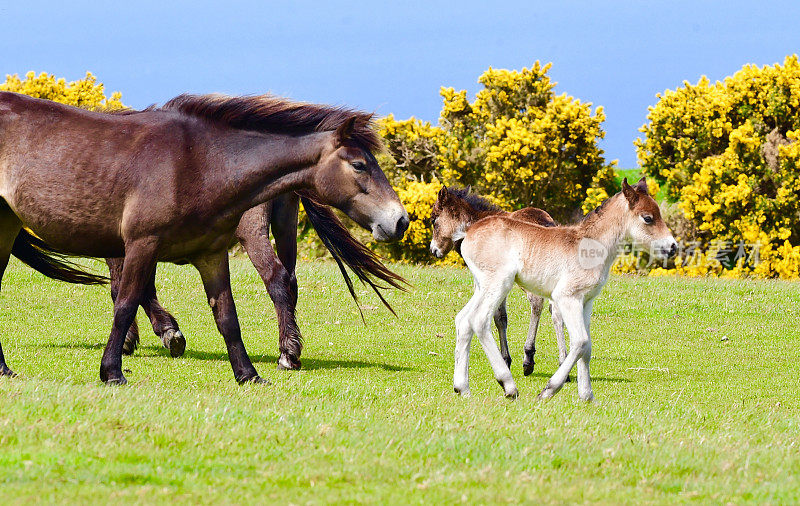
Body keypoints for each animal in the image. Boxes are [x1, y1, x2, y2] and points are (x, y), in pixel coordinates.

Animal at [0, 92, 410, 384]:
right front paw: (114, 370)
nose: (400, 220)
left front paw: (248, 374)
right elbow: (126, 300)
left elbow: (226, 317)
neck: (199, 161)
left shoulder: (210, 256)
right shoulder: (140, 244)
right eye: (359, 165)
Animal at [428, 188, 564, 374]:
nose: (433, 250)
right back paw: (563, 362)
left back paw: (529, 358)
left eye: (434, 219)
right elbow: (501, 317)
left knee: (537, 303)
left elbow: (499, 317)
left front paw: (505, 359)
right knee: (556, 310)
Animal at [456, 178, 676, 400]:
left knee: (464, 320)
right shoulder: (567, 297)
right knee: (479, 320)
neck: (588, 247)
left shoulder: (587, 301)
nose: (672, 247)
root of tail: (469, 232)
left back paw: (462, 388)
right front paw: (550, 389)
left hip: (482, 287)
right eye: (648, 218)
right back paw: (508, 385)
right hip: (499, 283)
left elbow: (587, 347)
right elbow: (580, 342)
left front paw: (587, 395)